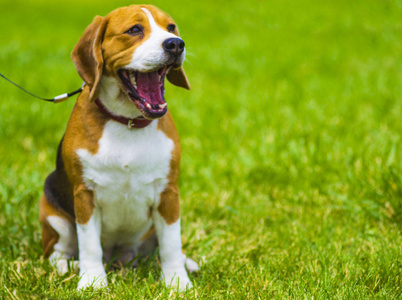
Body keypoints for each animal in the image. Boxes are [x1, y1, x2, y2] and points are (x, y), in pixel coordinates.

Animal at [38, 4, 199, 290]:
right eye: (134, 30)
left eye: (171, 28)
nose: (176, 44)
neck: (128, 121)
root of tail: (119, 258)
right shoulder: (85, 195)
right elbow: (90, 245)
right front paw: (92, 282)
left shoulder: (168, 193)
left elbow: (171, 243)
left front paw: (177, 282)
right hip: (54, 217)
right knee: (56, 254)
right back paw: (71, 266)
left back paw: (185, 262)